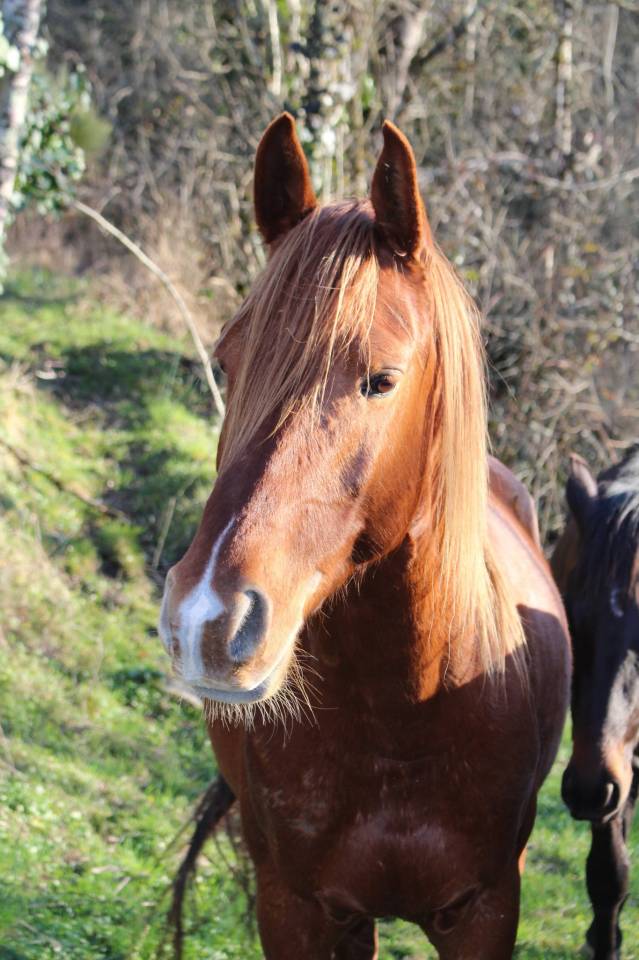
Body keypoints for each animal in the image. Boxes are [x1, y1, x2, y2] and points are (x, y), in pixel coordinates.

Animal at [159, 113, 570, 959]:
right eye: (228, 361)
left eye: (380, 380)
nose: (205, 617)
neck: (401, 716)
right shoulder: (298, 911)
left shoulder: (486, 911)